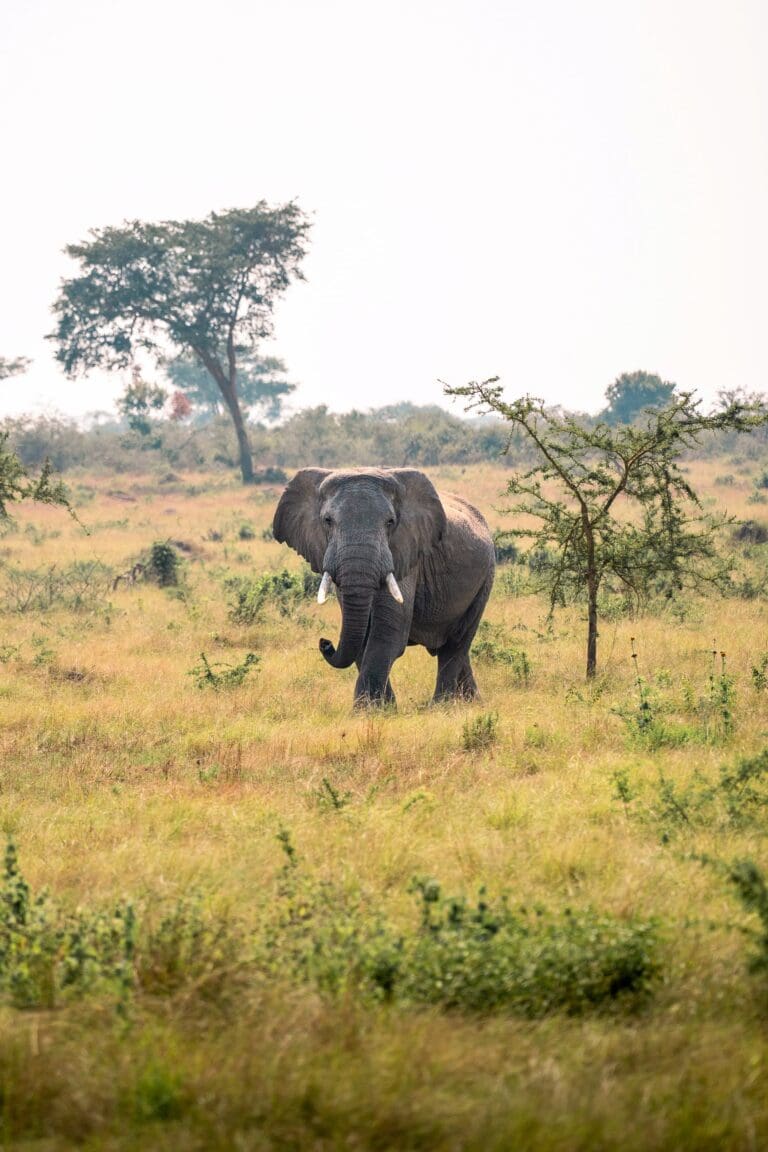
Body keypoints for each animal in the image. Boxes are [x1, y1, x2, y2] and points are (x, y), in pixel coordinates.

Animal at [272, 465, 495, 700]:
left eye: (390, 522)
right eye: (327, 521)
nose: (325, 643)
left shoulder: (406, 552)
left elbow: (387, 633)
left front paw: (367, 707)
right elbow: (363, 637)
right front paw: (384, 705)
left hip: (485, 578)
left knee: (456, 643)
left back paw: (443, 704)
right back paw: (471, 702)